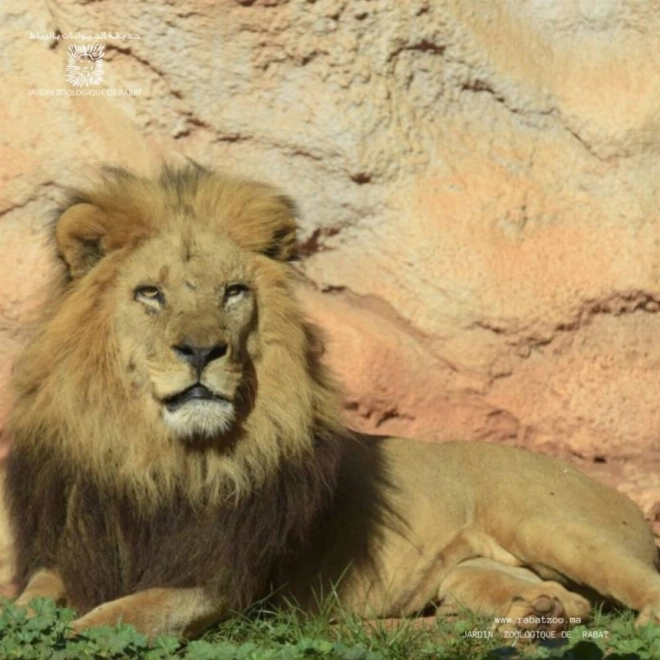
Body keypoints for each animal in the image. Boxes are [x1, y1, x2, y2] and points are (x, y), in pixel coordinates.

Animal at [5, 164, 660, 639]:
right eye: (150, 293)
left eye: (234, 292)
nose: (201, 350)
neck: (164, 458)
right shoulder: (74, 549)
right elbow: (32, 597)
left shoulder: (224, 578)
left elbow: (130, 611)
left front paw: (72, 636)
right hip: (474, 572)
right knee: (560, 601)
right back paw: (520, 616)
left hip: (555, 525)